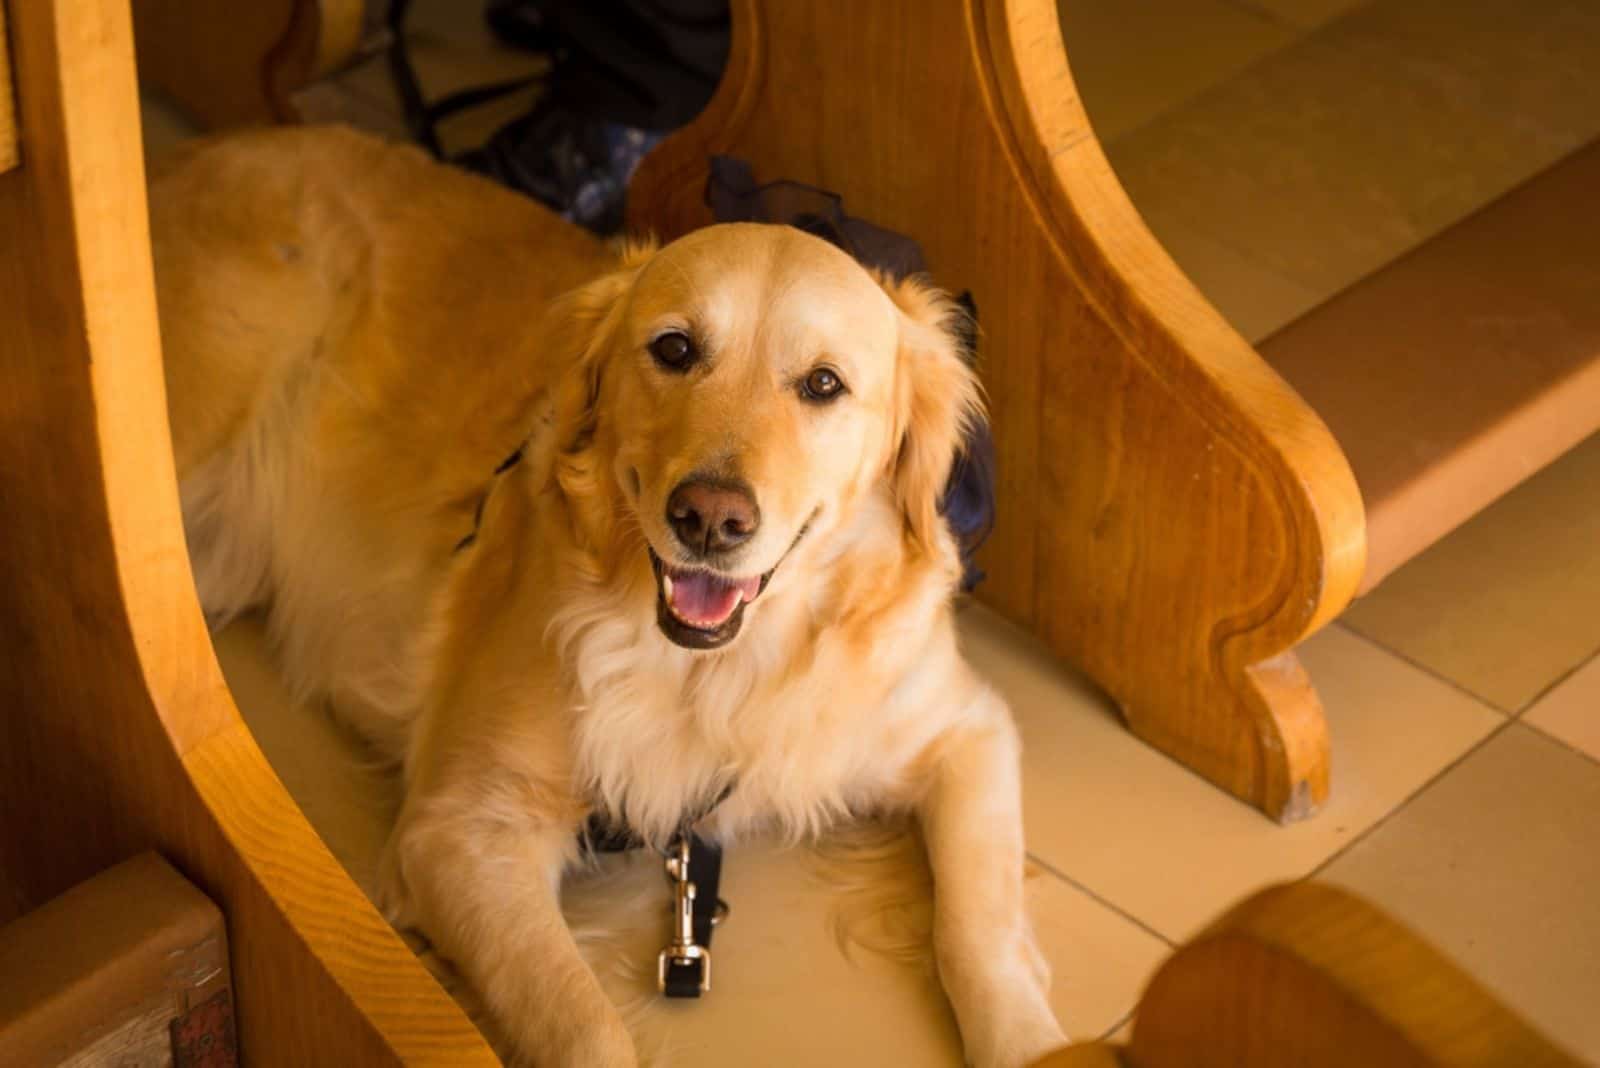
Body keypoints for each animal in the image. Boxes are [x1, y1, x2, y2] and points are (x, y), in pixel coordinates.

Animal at [150, 127, 1062, 1068]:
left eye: (822, 385)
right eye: (675, 349)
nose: (709, 518)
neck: (724, 672)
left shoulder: (964, 728)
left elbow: (978, 929)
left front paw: (1033, 1038)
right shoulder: (460, 830)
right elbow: (587, 1028)